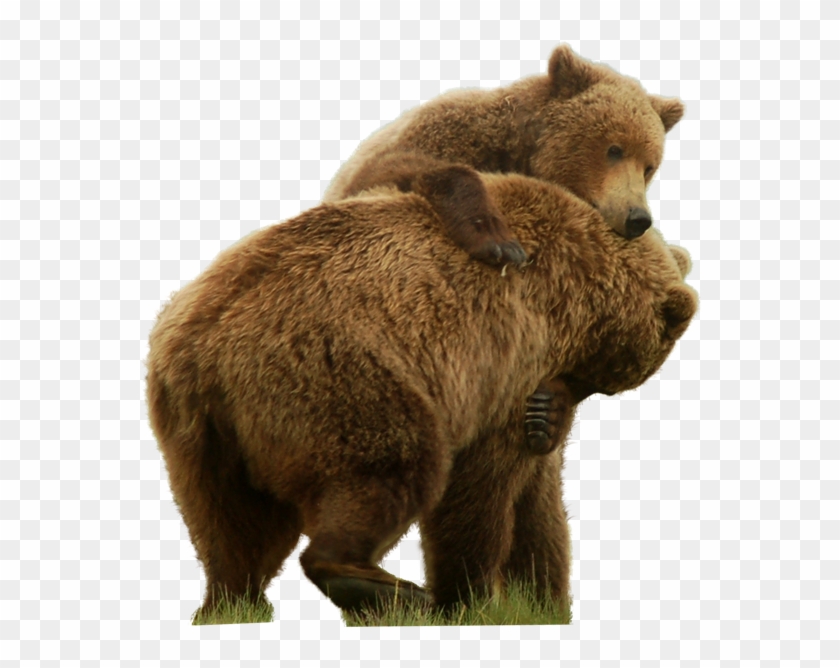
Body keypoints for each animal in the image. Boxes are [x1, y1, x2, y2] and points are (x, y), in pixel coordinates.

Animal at [146, 172, 697, 618]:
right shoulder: (504, 359)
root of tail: (203, 341)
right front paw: (470, 597)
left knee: (230, 525)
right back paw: (383, 587)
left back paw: (232, 602)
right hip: (336, 373)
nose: (550, 410)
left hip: (200, 431)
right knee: (394, 465)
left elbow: (538, 502)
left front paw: (543, 598)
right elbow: (478, 489)